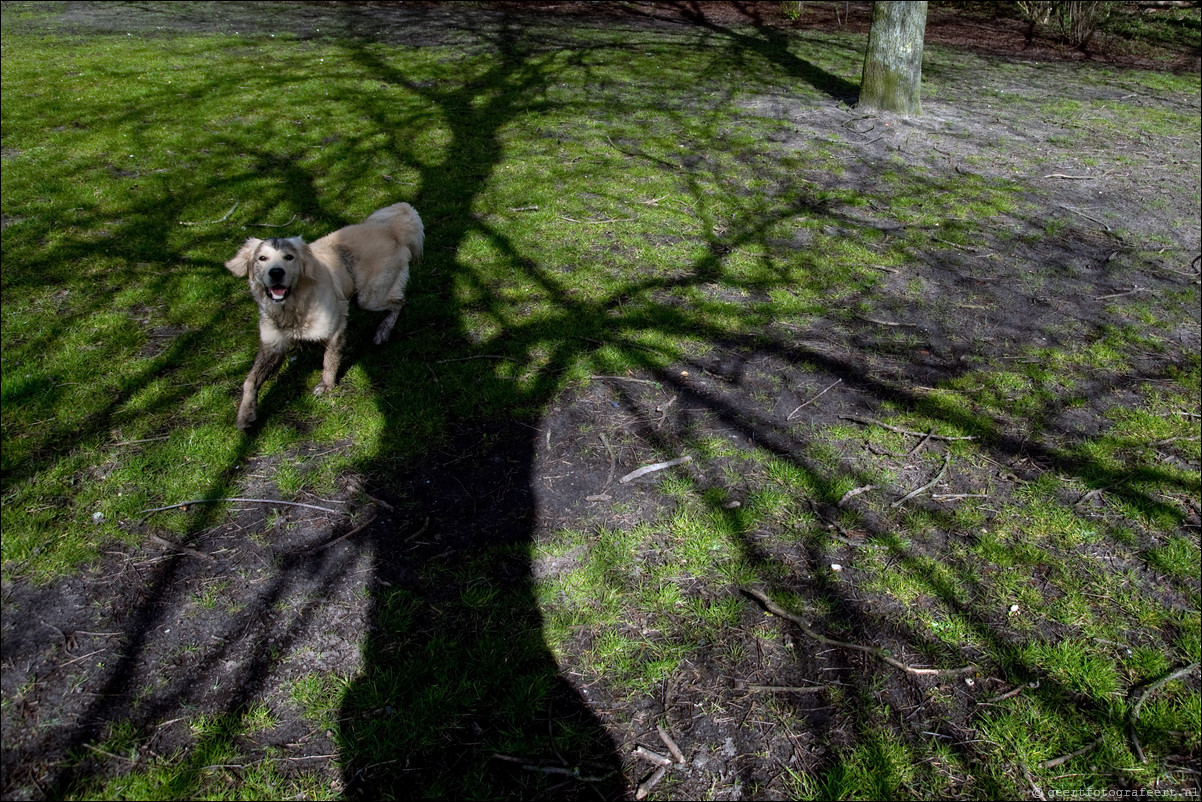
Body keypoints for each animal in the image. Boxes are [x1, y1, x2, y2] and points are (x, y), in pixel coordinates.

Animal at [224, 200, 423, 430]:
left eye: (289, 257)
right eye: (261, 258)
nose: (276, 272)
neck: (294, 307)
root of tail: (392, 228)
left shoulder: (335, 328)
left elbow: (329, 360)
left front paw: (327, 385)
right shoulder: (272, 346)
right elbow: (250, 380)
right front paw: (245, 414)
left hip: (369, 298)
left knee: (400, 302)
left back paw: (383, 331)